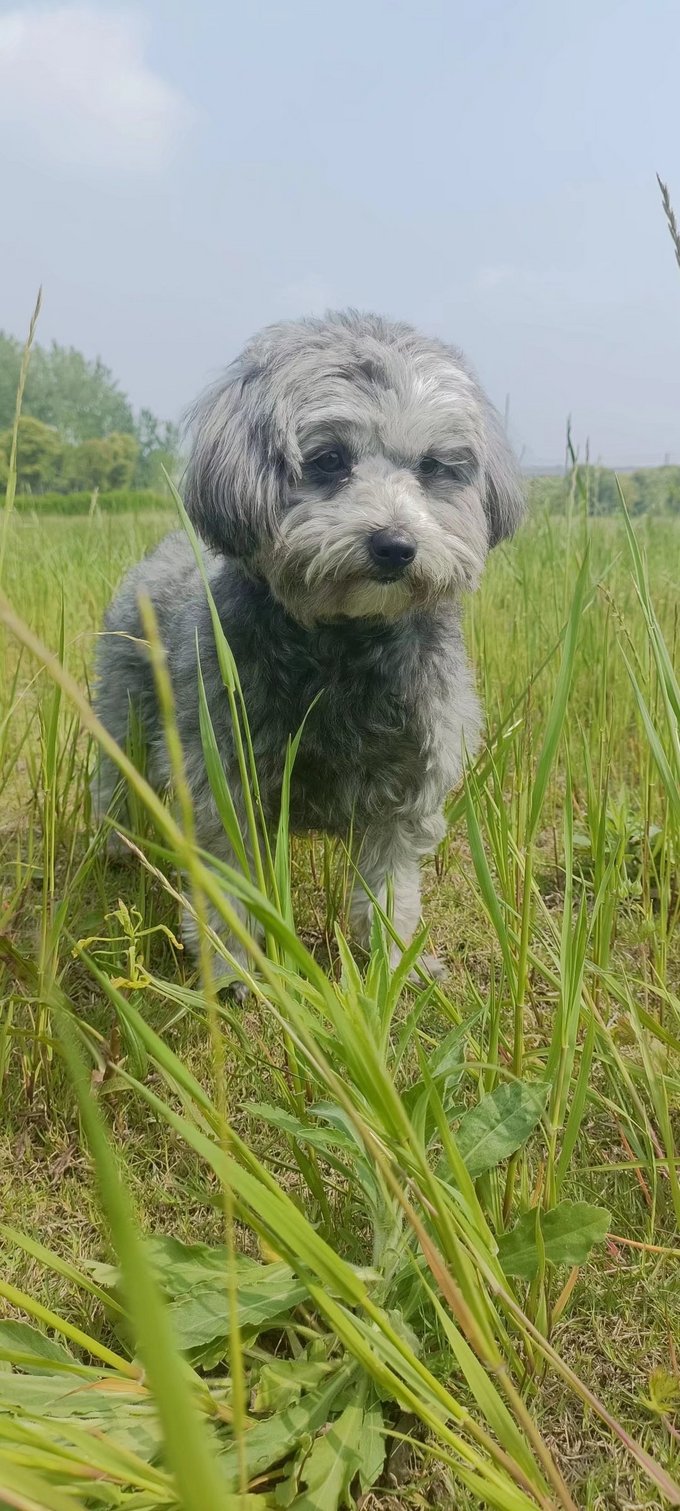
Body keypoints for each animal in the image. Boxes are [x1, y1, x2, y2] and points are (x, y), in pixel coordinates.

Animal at [91, 312, 525, 985]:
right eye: (328, 460)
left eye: (432, 466)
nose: (395, 545)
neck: (343, 643)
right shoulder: (225, 777)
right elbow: (230, 888)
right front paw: (235, 971)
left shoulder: (409, 787)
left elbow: (390, 891)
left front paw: (393, 968)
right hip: (127, 717)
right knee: (114, 784)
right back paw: (117, 846)